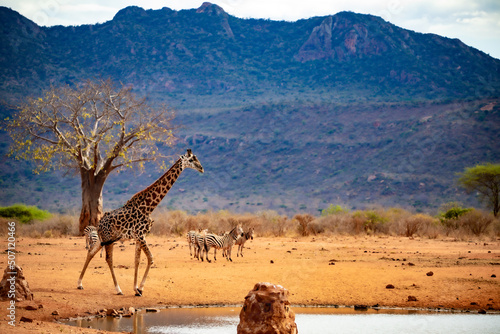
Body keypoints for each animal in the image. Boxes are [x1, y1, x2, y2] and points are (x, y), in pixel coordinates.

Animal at [77, 149, 202, 294]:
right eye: (191, 160)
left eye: (196, 158)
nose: (201, 168)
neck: (149, 206)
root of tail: (99, 224)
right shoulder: (140, 235)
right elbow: (150, 258)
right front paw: (140, 288)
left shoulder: (139, 237)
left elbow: (137, 260)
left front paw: (136, 288)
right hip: (108, 239)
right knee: (109, 259)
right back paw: (118, 289)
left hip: (104, 239)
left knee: (91, 252)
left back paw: (79, 283)